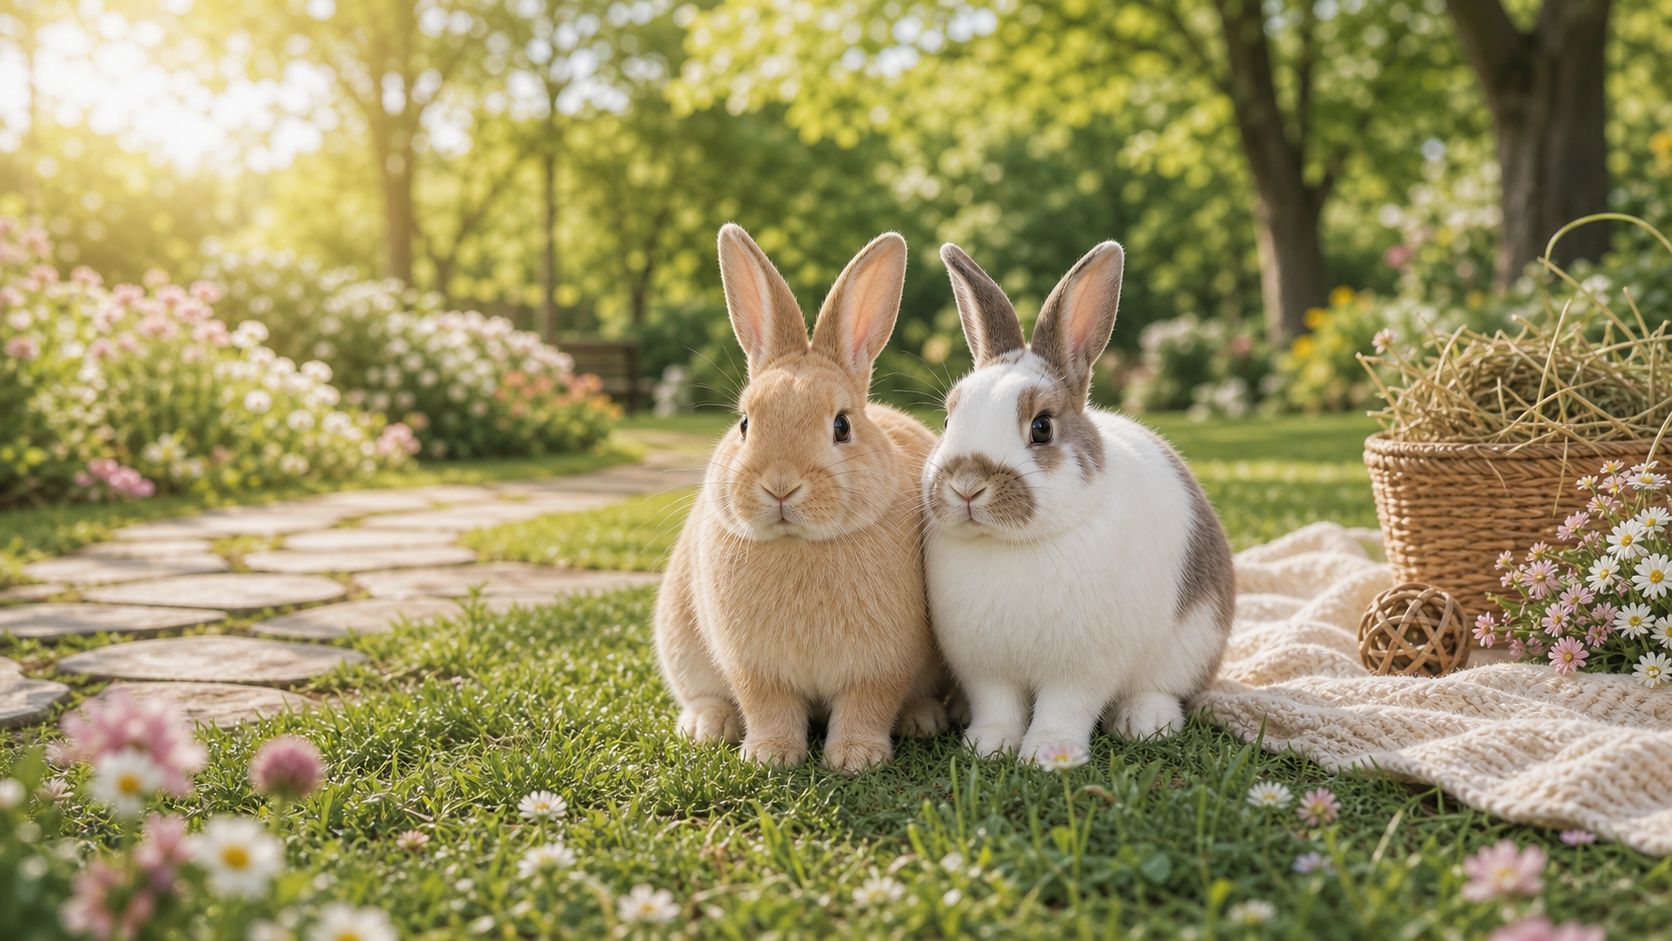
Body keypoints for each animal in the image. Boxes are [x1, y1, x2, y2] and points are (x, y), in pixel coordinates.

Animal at [653, 224, 951, 773]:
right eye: (744, 423)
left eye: (842, 426)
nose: (780, 485)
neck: (801, 543)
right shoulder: (754, 668)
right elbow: (767, 705)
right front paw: (770, 757)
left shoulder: (880, 668)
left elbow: (866, 706)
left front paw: (856, 758)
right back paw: (709, 727)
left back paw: (923, 720)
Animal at [920, 240, 1235, 764]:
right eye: (948, 421)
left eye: (1042, 427)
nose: (966, 484)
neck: (1012, 545)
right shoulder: (985, 668)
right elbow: (997, 706)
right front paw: (987, 747)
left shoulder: (1082, 669)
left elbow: (1064, 708)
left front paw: (1050, 755)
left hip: (1193, 643)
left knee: (1164, 688)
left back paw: (1144, 722)